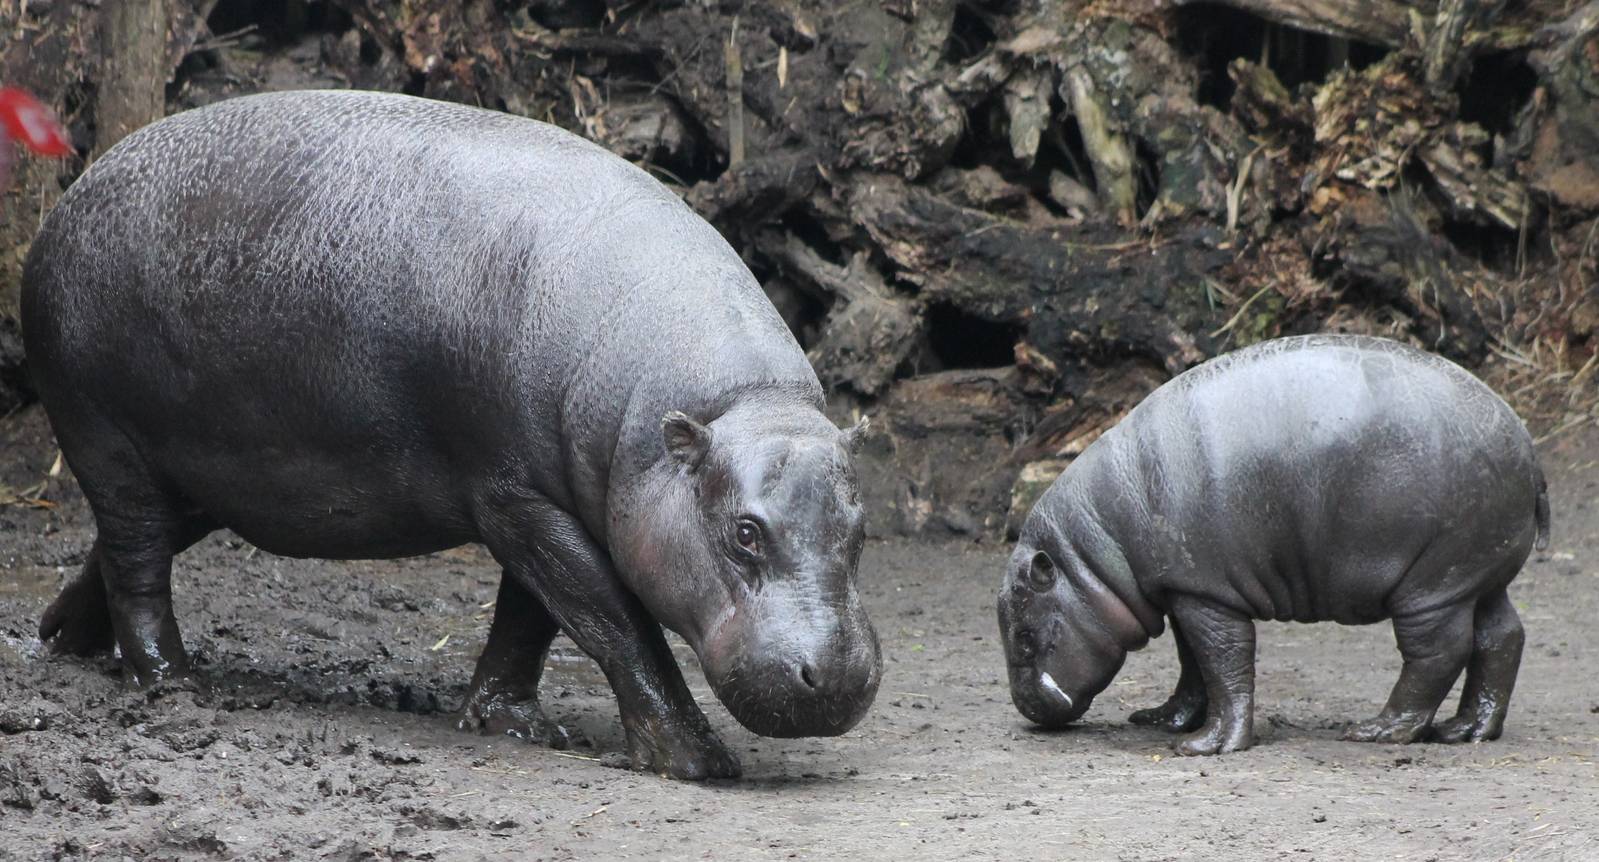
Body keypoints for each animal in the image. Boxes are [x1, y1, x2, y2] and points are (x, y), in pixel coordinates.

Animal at [22, 90, 882, 780]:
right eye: (744, 532)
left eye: (862, 528)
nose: (837, 677)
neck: (737, 404)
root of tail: (70, 195)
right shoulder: (519, 499)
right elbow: (613, 620)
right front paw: (695, 761)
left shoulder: (542, 498)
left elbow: (530, 618)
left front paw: (511, 724)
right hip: (107, 440)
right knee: (139, 561)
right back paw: (173, 684)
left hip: (205, 477)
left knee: (128, 551)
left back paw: (63, 640)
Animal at [998, 335, 1548, 754]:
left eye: (1024, 636)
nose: (1026, 709)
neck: (1093, 551)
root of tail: (1526, 443)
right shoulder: (1188, 590)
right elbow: (1193, 664)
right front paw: (1161, 719)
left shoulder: (1205, 592)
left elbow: (1225, 661)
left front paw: (1206, 746)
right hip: (1475, 574)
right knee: (1502, 636)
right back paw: (1466, 731)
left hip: (1432, 585)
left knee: (1440, 652)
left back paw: (1379, 731)